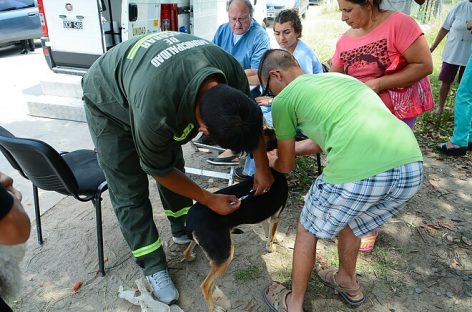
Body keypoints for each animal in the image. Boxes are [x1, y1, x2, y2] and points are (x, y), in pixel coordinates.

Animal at [183, 169, 288, 310]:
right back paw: (214, 308)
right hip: (225, 254)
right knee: (205, 286)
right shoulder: (276, 216)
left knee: (186, 250)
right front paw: (271, 246)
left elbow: (267, 229)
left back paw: (190, 257)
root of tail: (190, 220)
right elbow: (271, 234)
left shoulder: (264, 215)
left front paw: (271, 239)